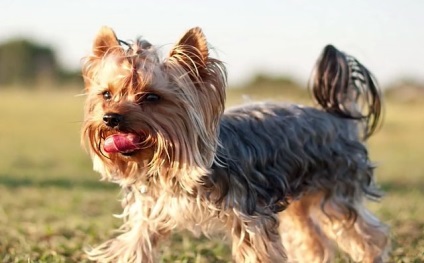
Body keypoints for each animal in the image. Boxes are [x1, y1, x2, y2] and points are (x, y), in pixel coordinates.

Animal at [81, 27, 390, 263]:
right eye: (106, 94)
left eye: (151, 97)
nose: (110, 118)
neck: (172, 166)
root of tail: (337, 116)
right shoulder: (149, 214)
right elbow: (134, 246)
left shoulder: (250, 219)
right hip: (299, 201)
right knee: (311, 239)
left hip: (337, 193)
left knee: (366, 236)